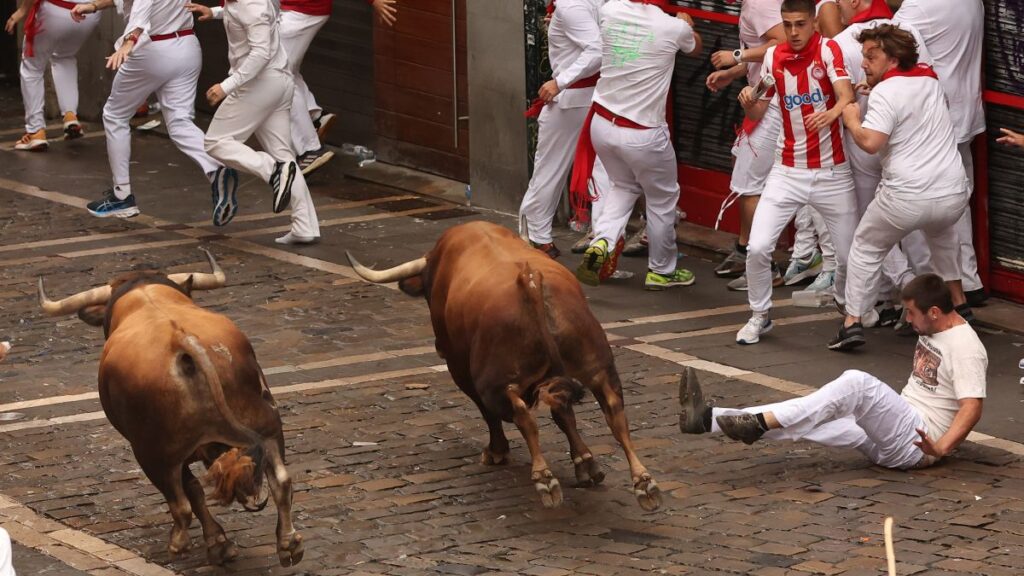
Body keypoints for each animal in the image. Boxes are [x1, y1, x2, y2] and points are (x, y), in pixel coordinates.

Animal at [37, 248, 307, 565]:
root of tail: (182, 340)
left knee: (181, 502)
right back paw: (289, 543)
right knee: (281, 480)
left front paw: (217, 542)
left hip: (153, 452)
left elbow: (192, 491)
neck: (146, 296)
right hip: (267, 425)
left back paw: (179, 542)